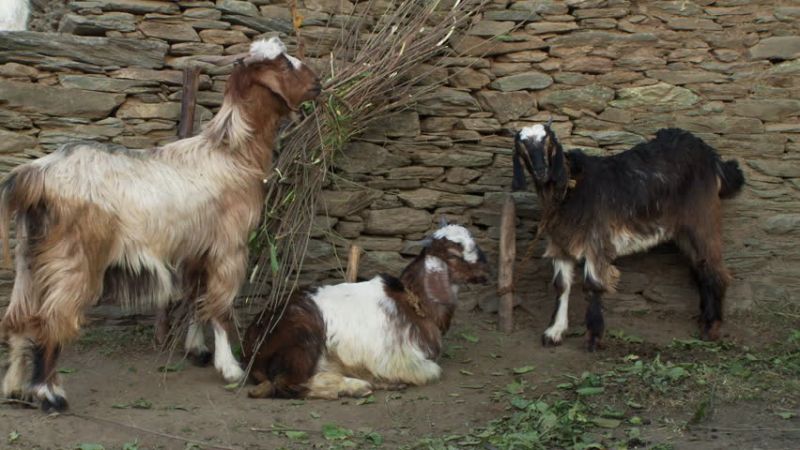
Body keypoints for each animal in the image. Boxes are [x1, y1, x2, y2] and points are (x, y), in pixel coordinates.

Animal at [0, 37, 321, 411]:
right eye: (283, 64)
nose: (318, 82)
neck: (231, 154)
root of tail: (33, 175)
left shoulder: (197, 248)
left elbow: (198, 297)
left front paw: (197, 349)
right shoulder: (230, 244)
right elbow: (221, 305)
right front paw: (230, 367)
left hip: (29, 254)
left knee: (18, 319)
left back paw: (16, 389)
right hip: (73, 257)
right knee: (52, 320)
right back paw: (49, 394)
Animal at [242, 223, 489, 399]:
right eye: (454, 255)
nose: (486, 272)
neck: (414, 303)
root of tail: (252, 342)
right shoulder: (405, 359)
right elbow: (432, 371)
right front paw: (386, 380)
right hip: (302, 338)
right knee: (284, 385)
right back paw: (353, 387)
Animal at [512, 124, 744, 351]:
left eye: (547, 141)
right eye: (522, 144)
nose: (541, 171)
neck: (570, 187)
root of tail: (712, 157)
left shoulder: (596, 239)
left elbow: (592, 285)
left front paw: (594, 338)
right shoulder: (561, 242)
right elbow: (561, 285)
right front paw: (554, 332)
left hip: (702, 218)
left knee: (714, 268)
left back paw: (711, 327)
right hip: (684, 231)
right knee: (700, 268)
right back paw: (705, 320)